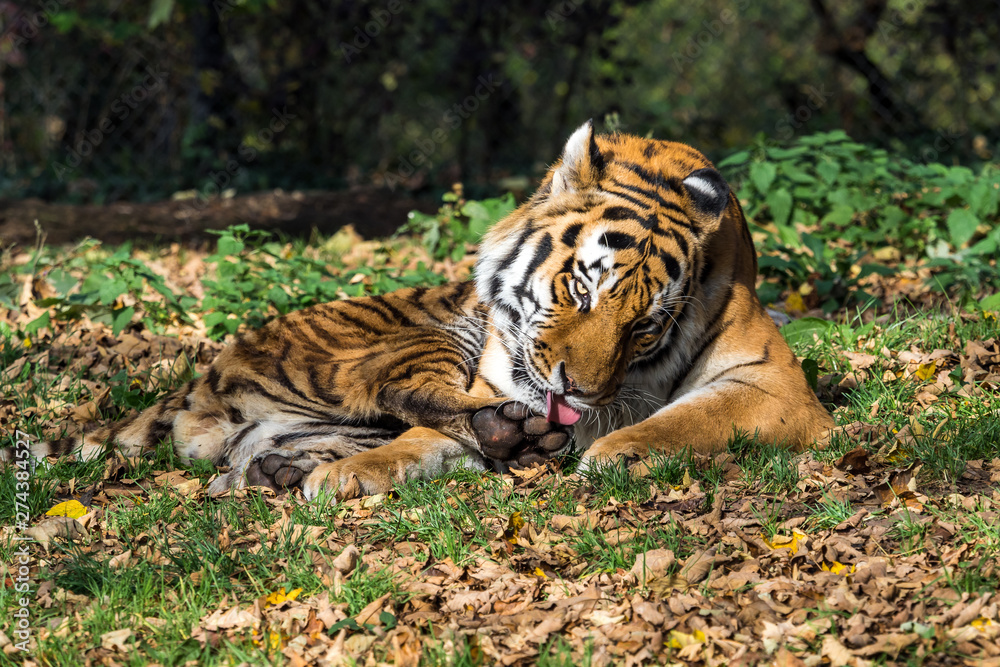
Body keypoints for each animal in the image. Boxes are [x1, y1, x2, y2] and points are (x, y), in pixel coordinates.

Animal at [13, 121, 833, 499]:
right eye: (580, 288)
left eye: (645, 327)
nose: (575, 393)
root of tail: (201, 377)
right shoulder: (494, 383)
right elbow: (424, 436)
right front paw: (355, 477)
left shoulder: (771, 382)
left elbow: (688, 416)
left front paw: (617, 447)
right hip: (421, 336)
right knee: (398, 394)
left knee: (247, 458)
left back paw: (283, 467)